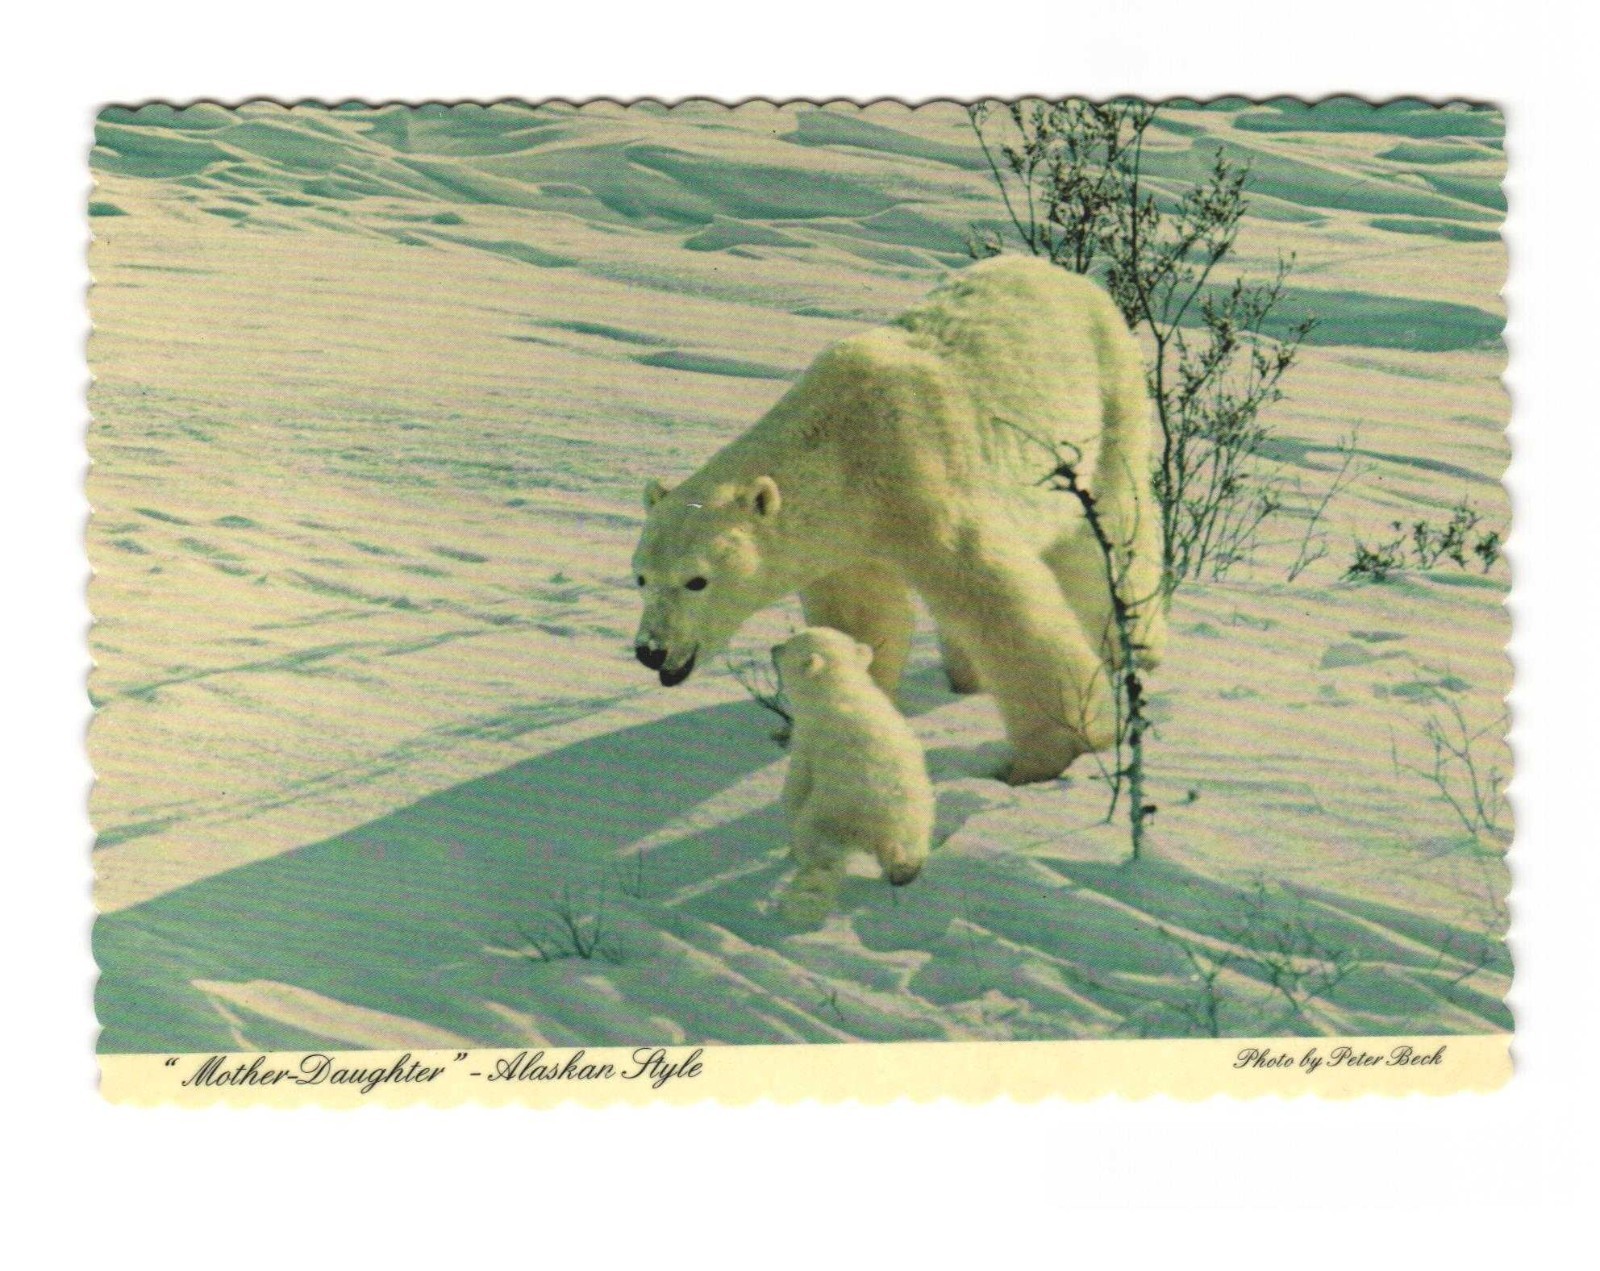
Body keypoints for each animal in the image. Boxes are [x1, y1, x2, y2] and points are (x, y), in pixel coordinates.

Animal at [631, 254, 1165, 785]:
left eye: (697, 580)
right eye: (641, 578)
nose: (650, 650)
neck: (843, 444)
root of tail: (1060, 273)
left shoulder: (920, 479)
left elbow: (1000, 603)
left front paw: (1057, 753)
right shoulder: (848, 530)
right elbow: (863, 613)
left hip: (1107, 399)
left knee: (1109, 529)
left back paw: (1135, 648)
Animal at [771, 627, 934, 923]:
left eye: (789, 646)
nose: (772, 648)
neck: (842, 690)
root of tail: (879, 828)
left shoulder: (809, 738)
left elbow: (796, 787)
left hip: (827, 816)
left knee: (818, 854)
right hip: (916, 817)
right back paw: (905, 872)